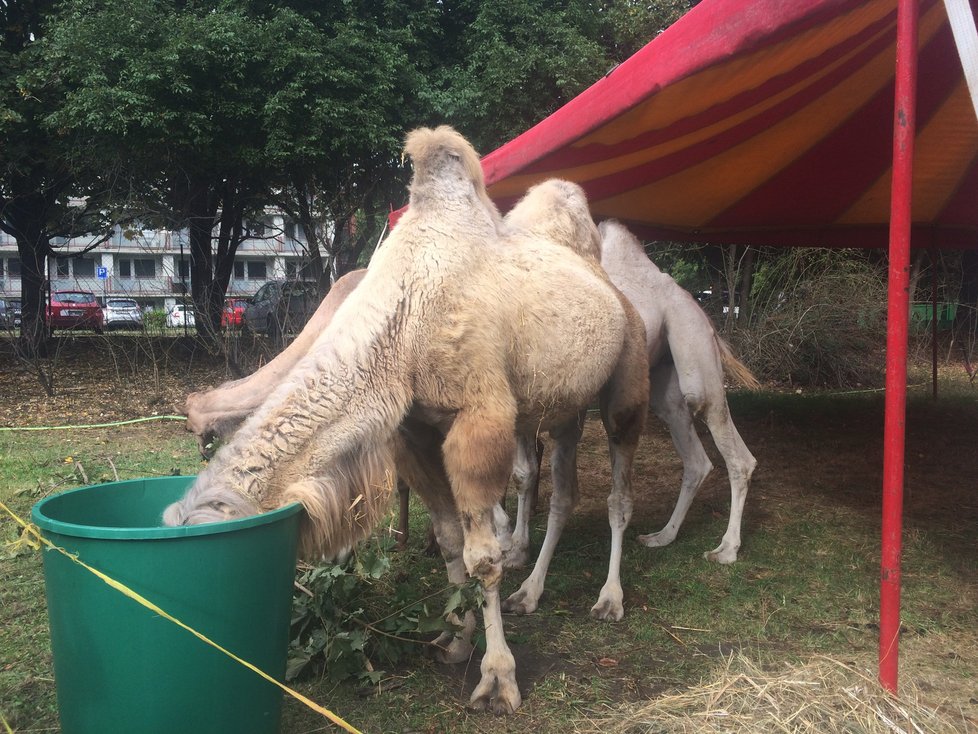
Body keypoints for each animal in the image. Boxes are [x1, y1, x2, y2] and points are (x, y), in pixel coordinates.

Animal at [160, 128, 648, 720]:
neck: (401, 323)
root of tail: (606, 279)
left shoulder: (480, 418)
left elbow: (483, 557)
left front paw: (497, 679)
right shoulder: (416, 431)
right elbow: (450, 541)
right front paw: (454, 642)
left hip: (626, 384)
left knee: (619, 492)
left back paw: (609, 599)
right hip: (563, 408)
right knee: (563, 488)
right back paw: (530, 592)